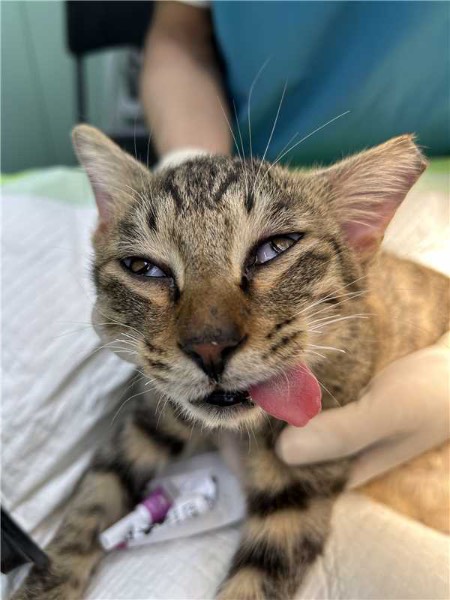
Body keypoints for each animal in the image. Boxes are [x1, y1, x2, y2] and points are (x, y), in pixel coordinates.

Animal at [14, 126, 449, 600]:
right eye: (143, 267)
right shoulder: (148, 417)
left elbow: (257, 576)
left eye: (276, 248)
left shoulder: (300, 485)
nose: (210, 346)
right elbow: (93, 499)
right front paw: (45, 582)